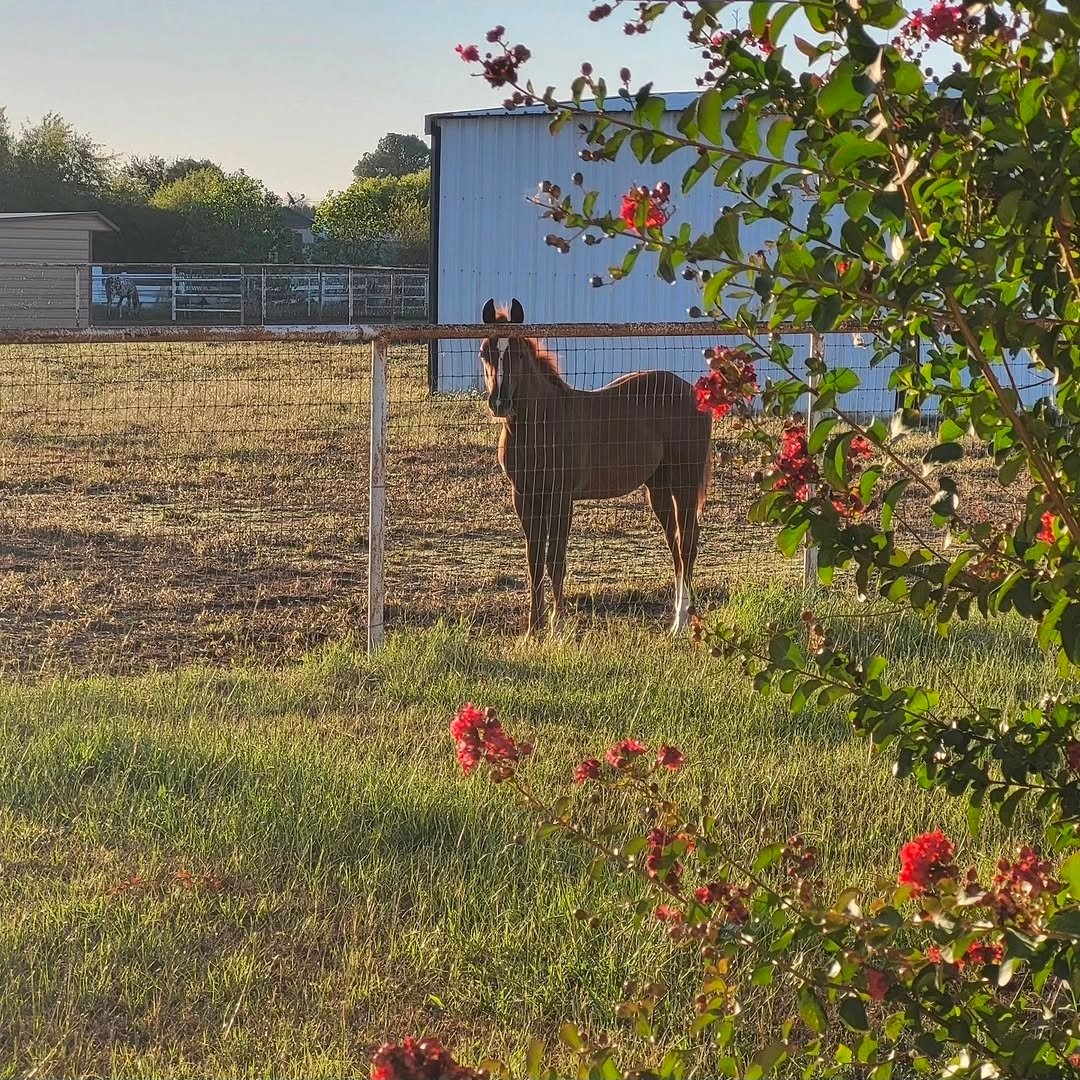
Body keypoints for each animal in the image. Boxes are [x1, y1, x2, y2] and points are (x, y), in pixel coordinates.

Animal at [480, 298, 713, 636]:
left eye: (518, 354)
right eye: (485, 351)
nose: (500, 403)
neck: (541, 422)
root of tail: (693, 393)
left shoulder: (560, 497)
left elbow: (555, 559)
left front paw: (557, 625)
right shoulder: (524, 496)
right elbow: (533, 559)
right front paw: (533, 629)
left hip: (685, 480)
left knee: (687, 544)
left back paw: (681, 624)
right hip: (658, 487)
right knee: (676, 546)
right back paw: (678, 619)